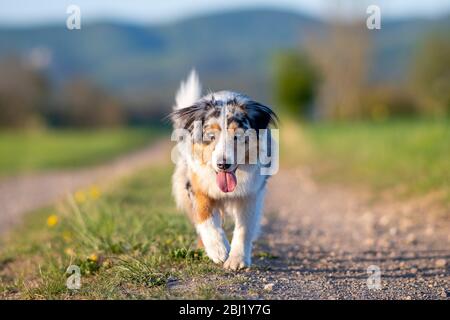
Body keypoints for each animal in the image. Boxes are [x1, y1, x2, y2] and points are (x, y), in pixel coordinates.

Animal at [171, 70, 280, 270]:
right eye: (210, 136)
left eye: (237, 136)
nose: (223, 164)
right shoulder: (195, 185)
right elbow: (205, 217)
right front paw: (219, 250)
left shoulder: (251, 193)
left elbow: (244, 228)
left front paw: (236, 260)